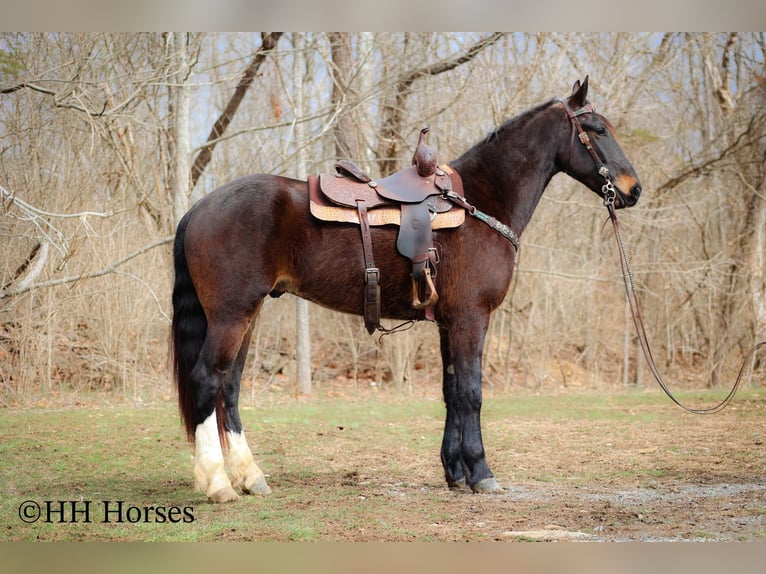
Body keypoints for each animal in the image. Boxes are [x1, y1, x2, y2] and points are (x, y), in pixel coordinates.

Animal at [171, 77, 642, 502]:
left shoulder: (449, 323)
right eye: (597, 129)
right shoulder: (472, 318)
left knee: (229, 389)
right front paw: (481, 472)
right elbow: (472, 393)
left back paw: (250, 477)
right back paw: (218, 483)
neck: (479, 205)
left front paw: (456, 471)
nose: (632, 189)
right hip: (232, 316)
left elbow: (452, 392)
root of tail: (199, 208)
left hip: (246, 317)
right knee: (206, 380)